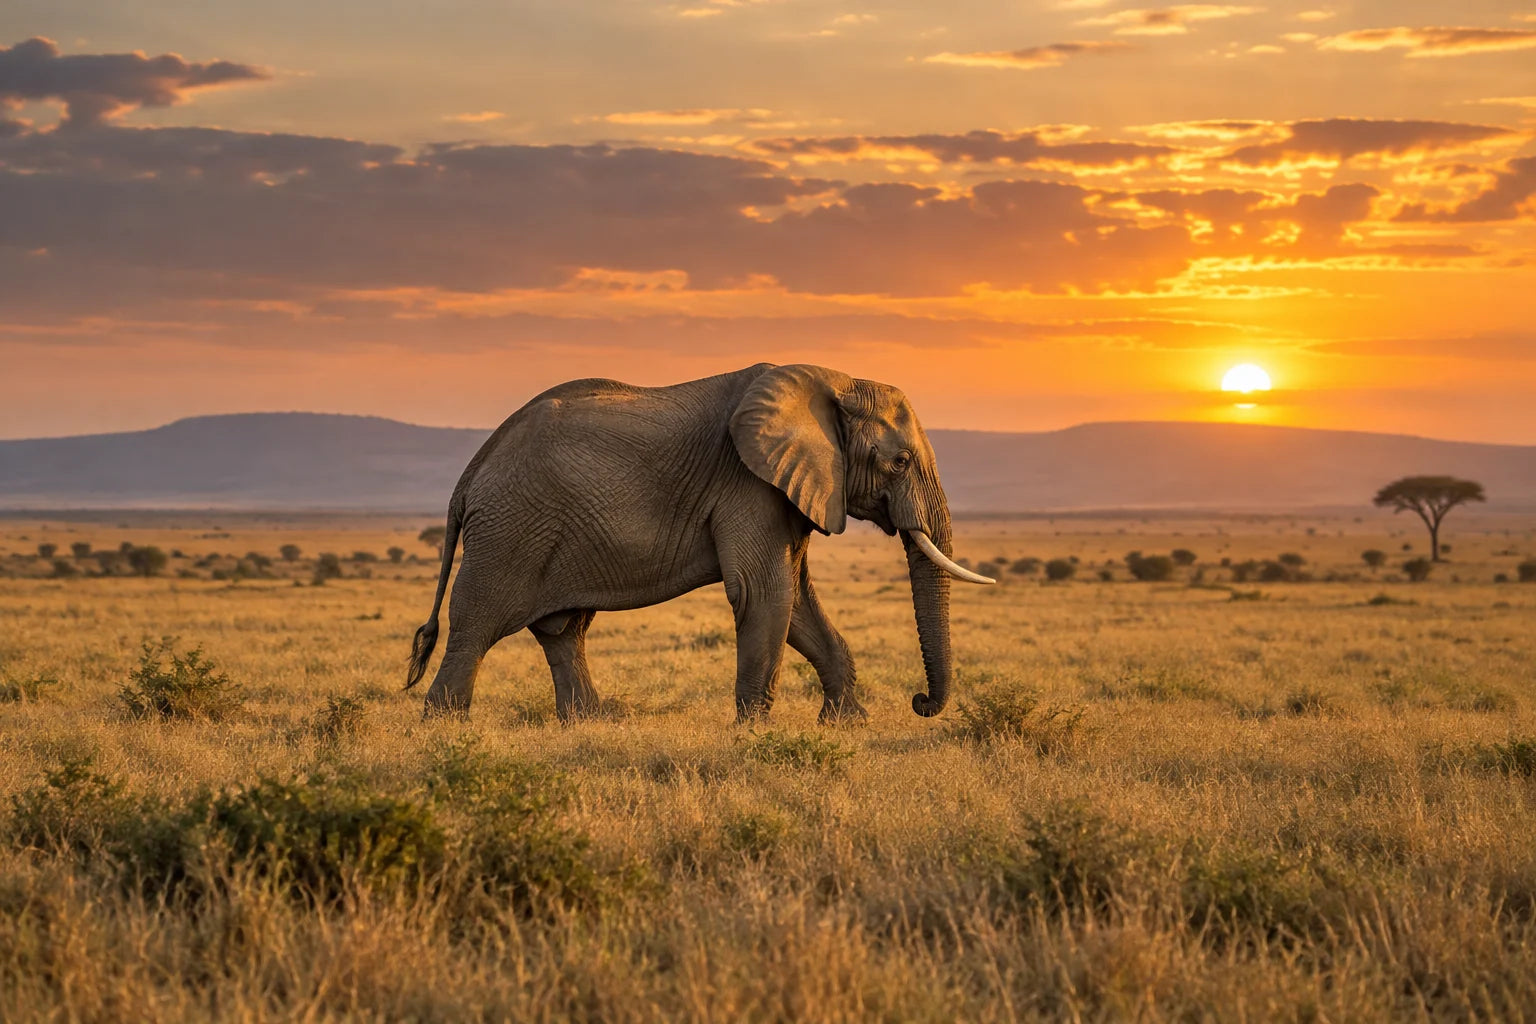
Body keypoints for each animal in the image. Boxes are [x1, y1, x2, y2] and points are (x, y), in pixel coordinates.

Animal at [404, 362, 995, 723]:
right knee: (476, 626)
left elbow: (797, 602)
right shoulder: (748, 484)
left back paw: (590, 724)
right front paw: (755, 734)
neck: (835, 380)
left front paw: (847, 725)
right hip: (509, 530)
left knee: (562, 631)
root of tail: (472, 471)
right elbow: (765, 594)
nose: (919, 701)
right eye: (899, 461)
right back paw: (446, 728)